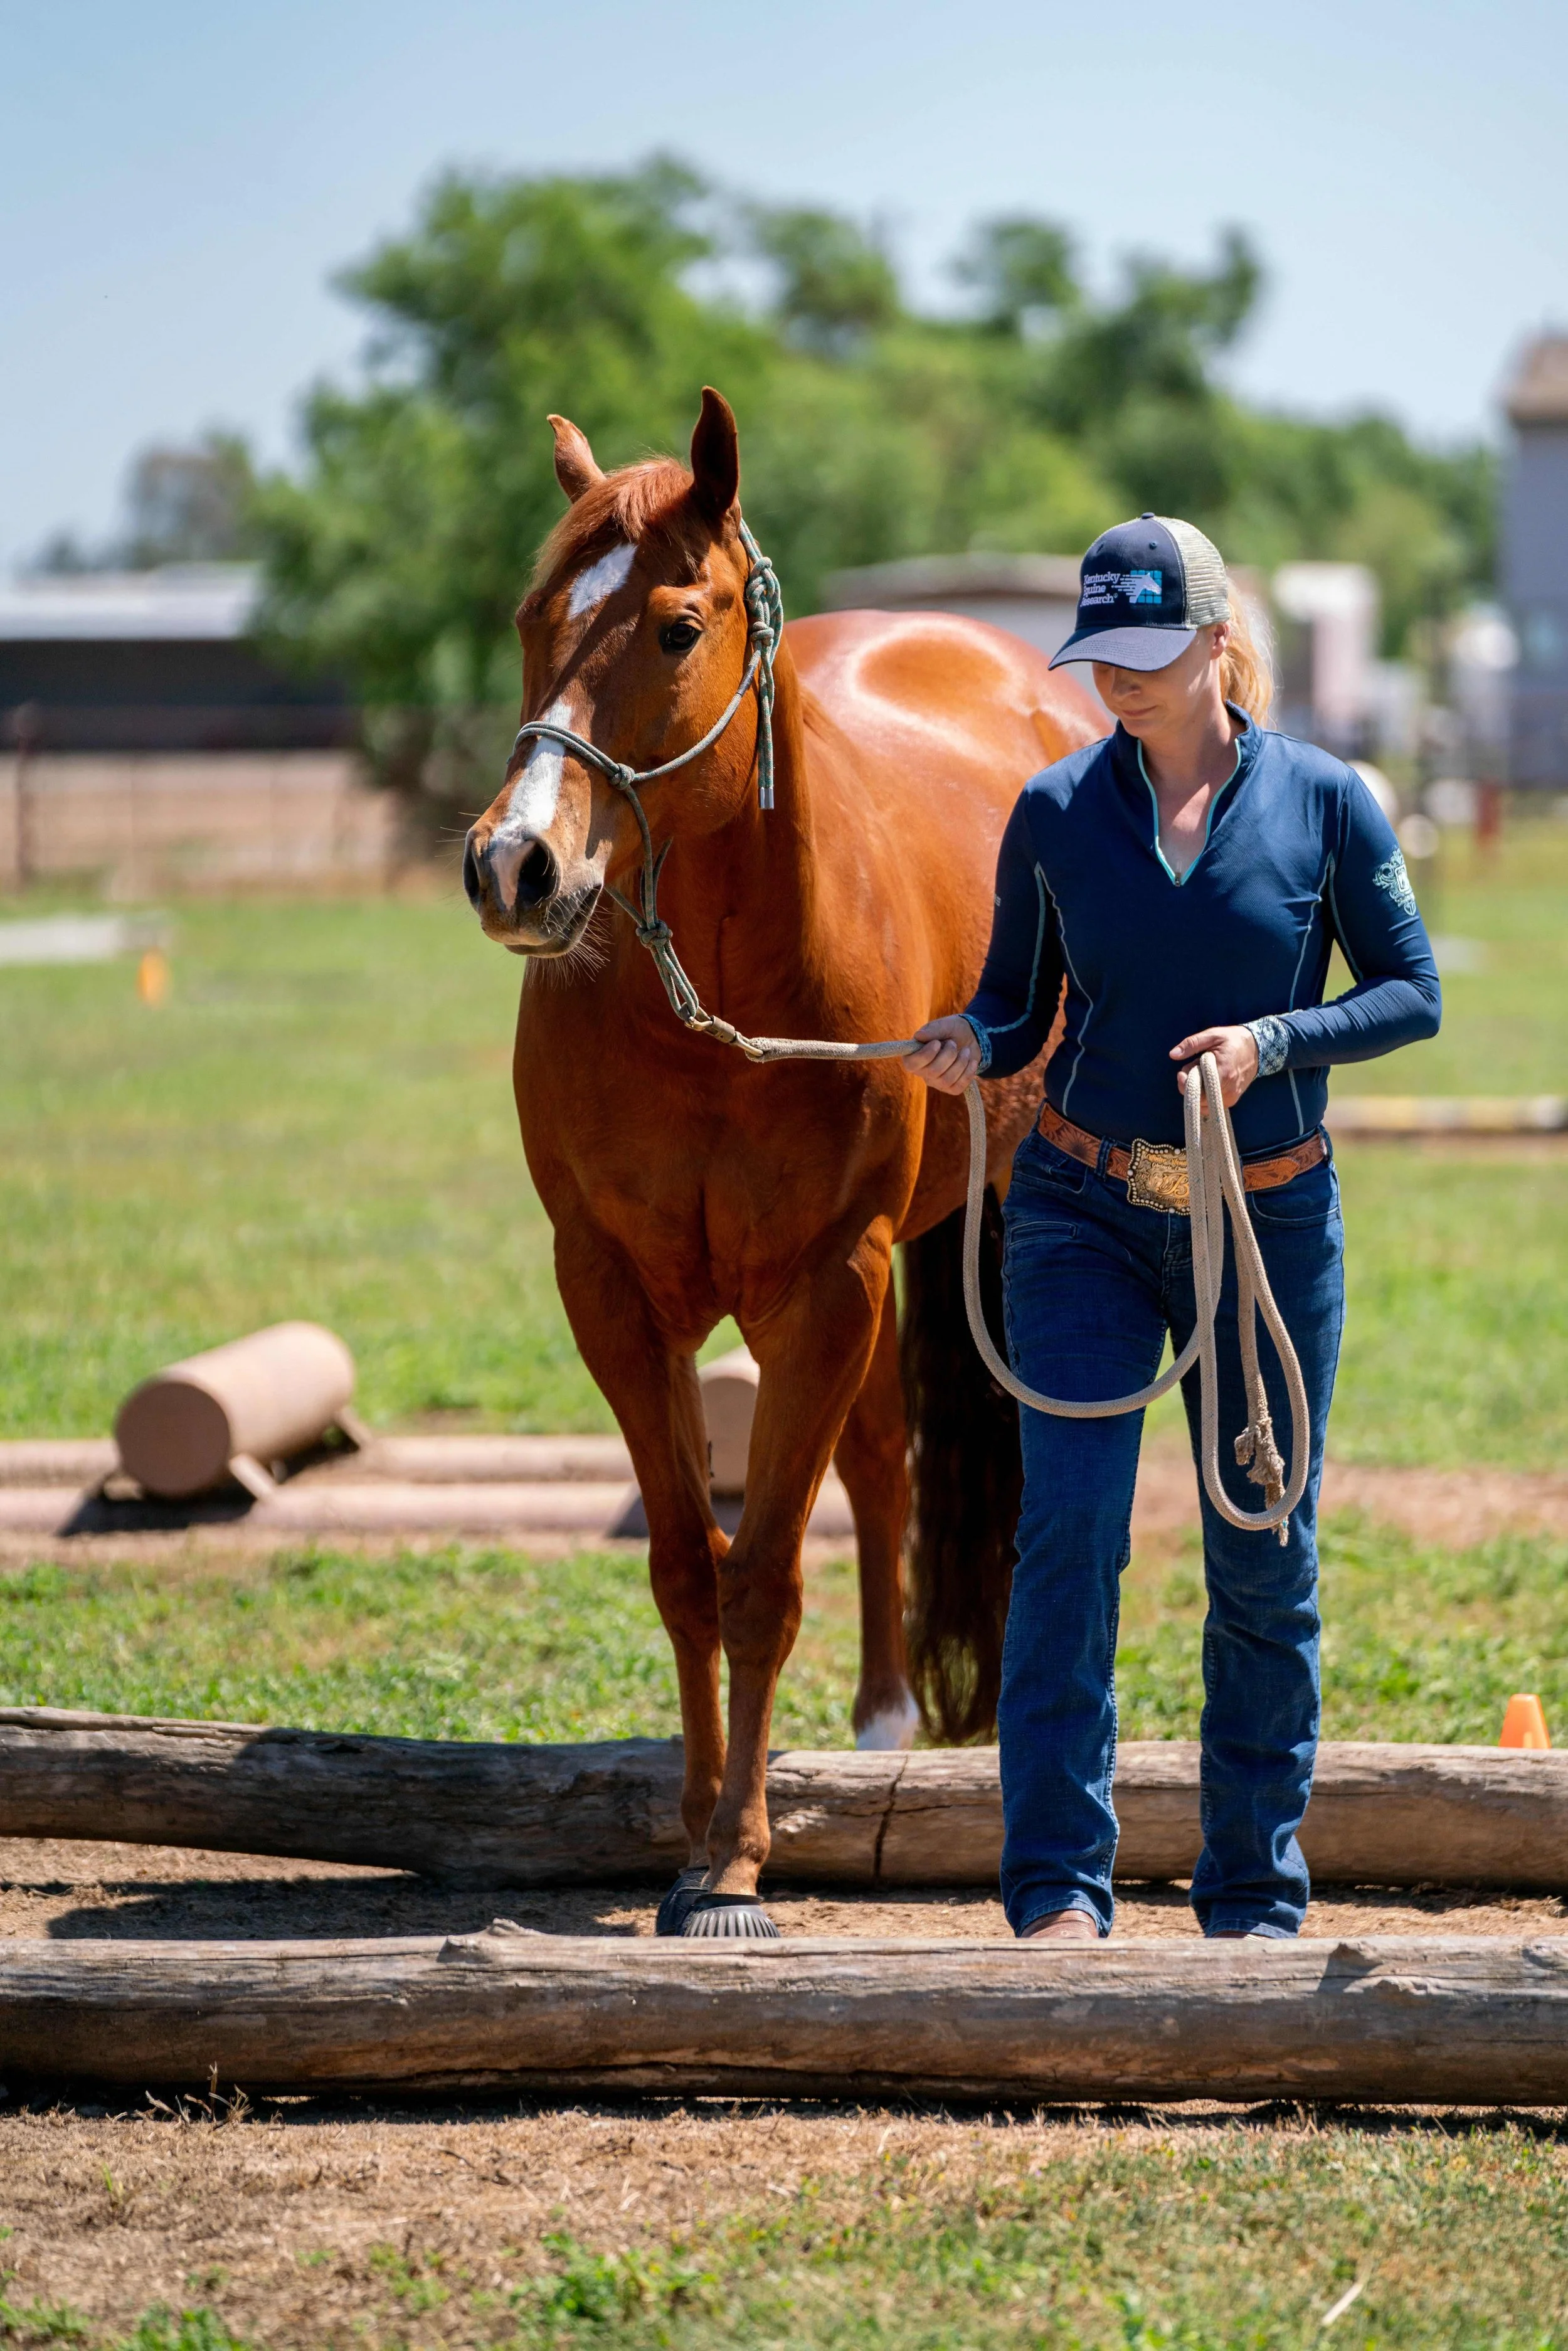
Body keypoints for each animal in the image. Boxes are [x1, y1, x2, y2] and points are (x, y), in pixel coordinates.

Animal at [464, 388, 1103, 1935]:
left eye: (676, 626)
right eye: (529, 615)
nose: (512, 864)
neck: (714, 1014)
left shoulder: (825, 1282)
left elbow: (759, 1580)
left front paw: (734, 1866)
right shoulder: (617, 1297)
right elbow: (690, 1569)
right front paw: (696, 1824)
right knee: (876, 1460)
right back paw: (878, 1724)